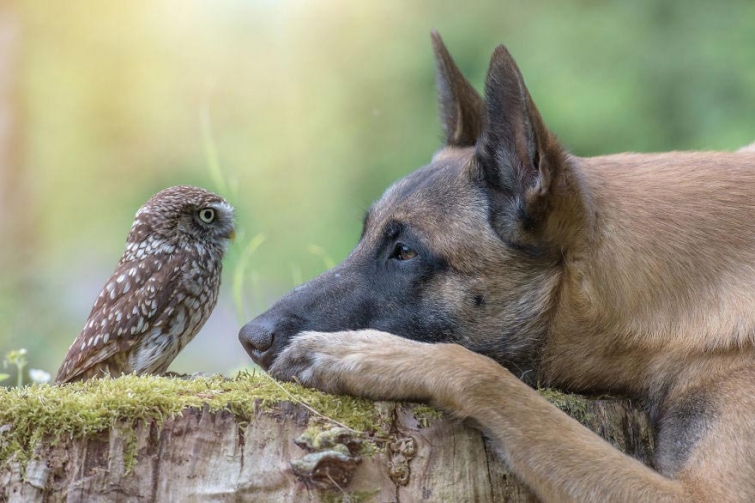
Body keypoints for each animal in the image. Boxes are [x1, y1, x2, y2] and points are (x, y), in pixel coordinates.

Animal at [239, 33, 755, 502]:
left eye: (405, 252)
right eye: (364, 235)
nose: (250, 338)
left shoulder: (700, 495)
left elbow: (488, 377)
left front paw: (363, 355)